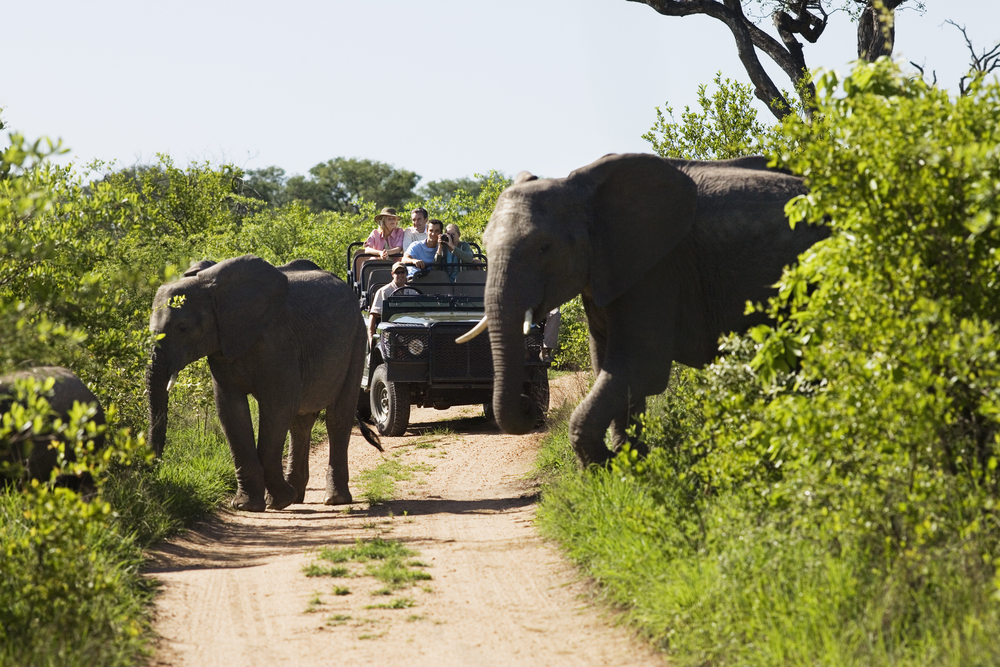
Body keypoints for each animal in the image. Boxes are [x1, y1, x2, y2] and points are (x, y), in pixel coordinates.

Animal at [147, 255, 382, 512]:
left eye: (183, 328)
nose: (152, 469)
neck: (211, 287)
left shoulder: (277, 342)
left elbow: (277, 407)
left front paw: (277, 501)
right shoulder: (223, 347)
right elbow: (231, 410)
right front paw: (247, 505)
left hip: (357, 340)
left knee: (337, 417)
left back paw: (333, 499)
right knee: (300, 422)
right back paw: (296, 496)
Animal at [468, 153, 828, 466]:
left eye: (545, 248)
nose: (529, 404)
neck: (580, 190)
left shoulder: (657, 269)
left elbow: (638, 367)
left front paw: (606, 466)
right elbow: (607, 366)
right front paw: (631, 463)